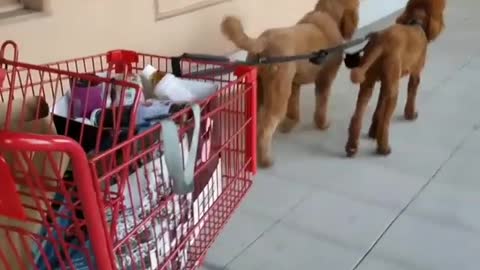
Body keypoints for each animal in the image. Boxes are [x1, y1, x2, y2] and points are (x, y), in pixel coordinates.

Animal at [219, 0, 358, 168]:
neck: (327, 13)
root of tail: (264, 41)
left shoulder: (294, 84)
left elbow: (293, 108)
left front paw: (290, 124)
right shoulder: (324, 80)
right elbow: (321, 105)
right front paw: (322, 124)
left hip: (261, 90)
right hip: (278, 95)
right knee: (265, 130)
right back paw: (265, 160)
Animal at [344, 0, 444, 157]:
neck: (415, 23)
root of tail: (381, 42)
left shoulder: (385, 83)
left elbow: (379, 108)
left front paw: (373, 131)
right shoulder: (415, 73)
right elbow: (412, 93)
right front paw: (410, 115)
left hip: (368, 85)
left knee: (357, 116)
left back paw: (352, 147)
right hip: (393, 91)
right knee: (386, 121)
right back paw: (383, 148)